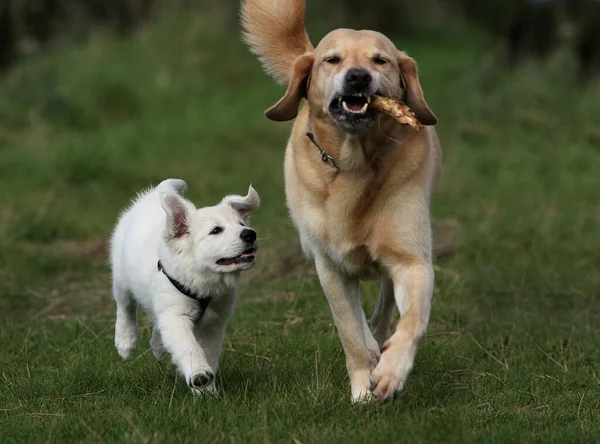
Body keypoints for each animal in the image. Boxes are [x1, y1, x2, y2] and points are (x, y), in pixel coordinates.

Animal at [110, 179, 260, 394]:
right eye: (216, 230)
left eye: (241, 225)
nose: (250, 234)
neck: (203, 279)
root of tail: (156, 192)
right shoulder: (176, 314)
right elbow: (189, 346)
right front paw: (199, 375)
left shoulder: (214, 321)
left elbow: (208, 351)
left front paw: (207, 390)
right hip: (121, 278)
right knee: (125, 307)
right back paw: (126, 341)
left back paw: (157, 346)